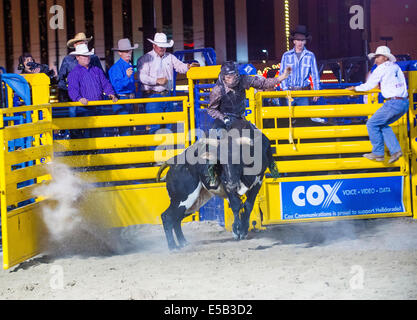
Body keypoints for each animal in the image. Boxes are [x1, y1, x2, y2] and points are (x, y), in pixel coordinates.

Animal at [155, 122, 276, 250]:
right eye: (220, 162)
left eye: (238, 159)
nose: (232, 185)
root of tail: (173, 165)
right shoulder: (226, 184)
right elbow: (236, 204)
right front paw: (237, 230)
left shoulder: (258, 181)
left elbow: (248, 206)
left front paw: (243, 230)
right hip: (182, 197)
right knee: (167, 216)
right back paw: (173, 247)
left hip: (195, 202)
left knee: (176, 218)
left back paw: (183, 243)